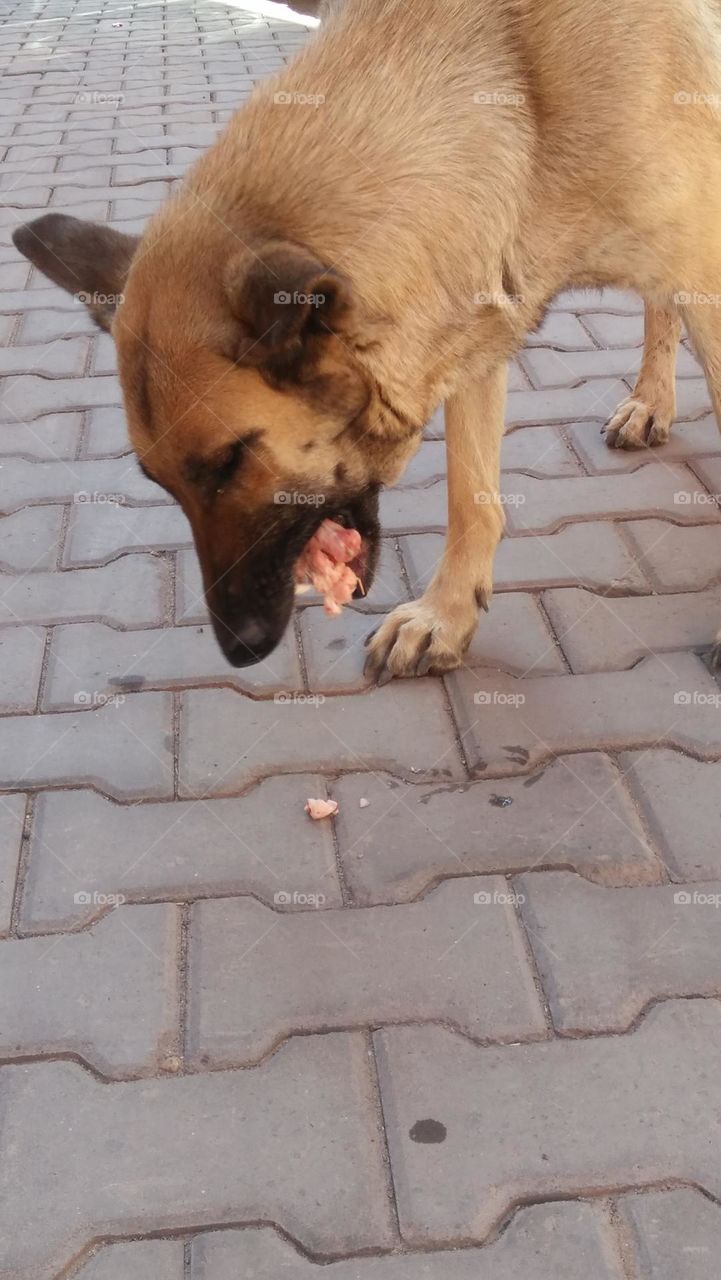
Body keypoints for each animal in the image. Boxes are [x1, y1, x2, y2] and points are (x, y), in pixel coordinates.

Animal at [12, 0, 721, 675]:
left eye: (231, 461)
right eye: (161, 482)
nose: (238, 650)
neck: (521, 102)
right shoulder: (475, 319)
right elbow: (470, 499)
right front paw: (445, 615)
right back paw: (652, 400)